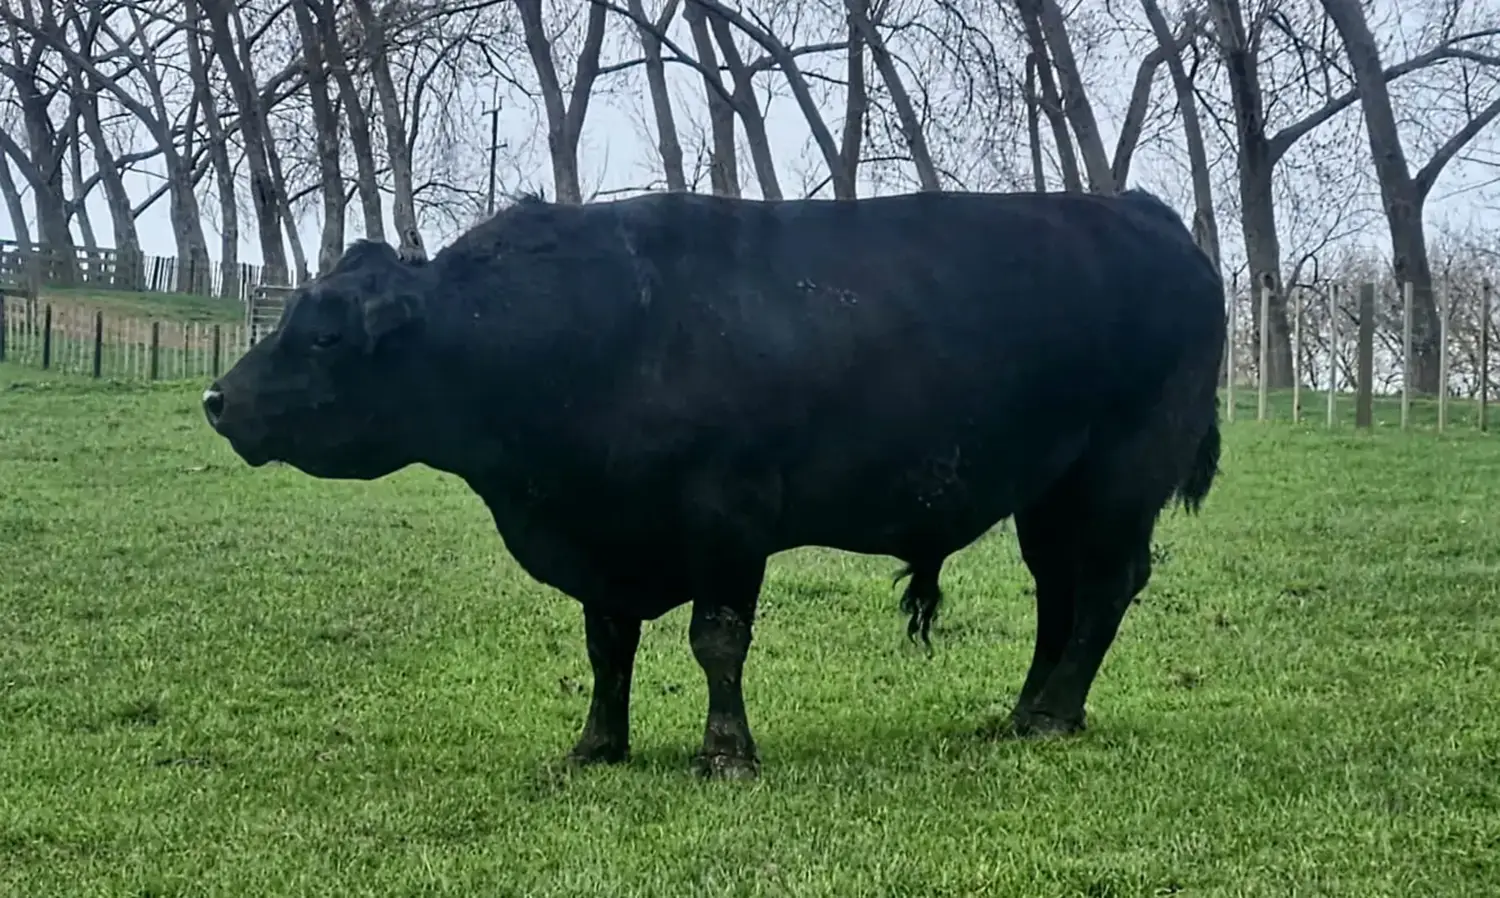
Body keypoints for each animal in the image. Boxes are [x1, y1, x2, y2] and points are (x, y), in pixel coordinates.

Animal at [202, 187, 1224, 780]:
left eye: (323, 336)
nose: (219, 399)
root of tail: (1148, 214)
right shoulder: (603, 535)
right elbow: (607, 648)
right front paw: (597, 746)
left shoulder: (728, 518)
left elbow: (715, 641)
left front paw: (726, 753)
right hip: (1050, 491)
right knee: (1060, 592)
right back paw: (1031, 711)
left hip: (1119, 475)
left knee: (1105, 588)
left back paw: (1052, 715)